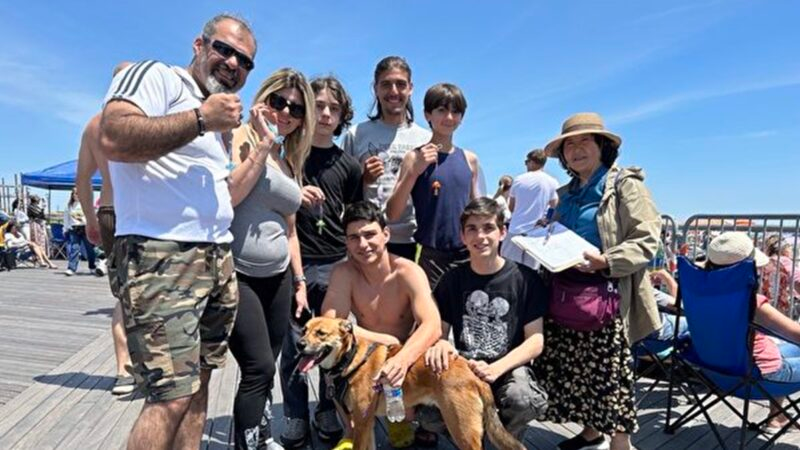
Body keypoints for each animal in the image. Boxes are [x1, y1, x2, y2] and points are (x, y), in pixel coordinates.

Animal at [296, 316, 525, 450]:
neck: (349, 358)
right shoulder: (365, 423)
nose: (299, 344)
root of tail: (472, 372)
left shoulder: (361, 422)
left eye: (321, 333)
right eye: (304, 330)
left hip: (462, 430)